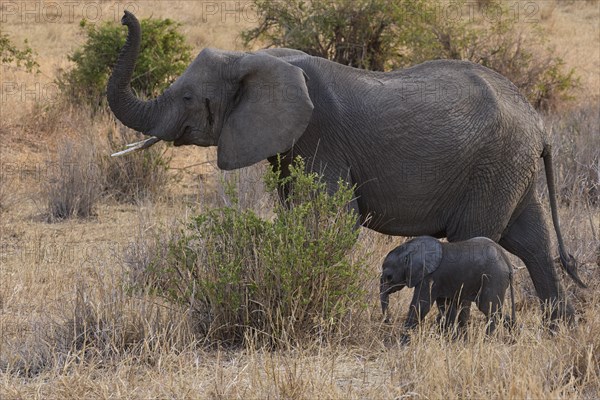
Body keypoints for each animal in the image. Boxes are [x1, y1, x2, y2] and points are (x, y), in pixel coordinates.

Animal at [108, 11, 584, 322]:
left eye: (189, 97)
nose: (125, 16)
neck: (252, 57)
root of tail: (539, 124)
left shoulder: (321, 137)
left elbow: (334, 220)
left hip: (494, 166)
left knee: (477, 238)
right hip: (510, 168)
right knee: (533, 241)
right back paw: (558, 327)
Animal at [380, 236, 516, 336]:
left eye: (389, 277)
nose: (388, 321)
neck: (410, 249)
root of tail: (507, 262)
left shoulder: (429, 277)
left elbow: (420, 306)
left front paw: (404, 340)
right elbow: (446, 308)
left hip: (493, 278)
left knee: (489, 309)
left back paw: (488, 339)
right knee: (496, 311)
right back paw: (515, 332)